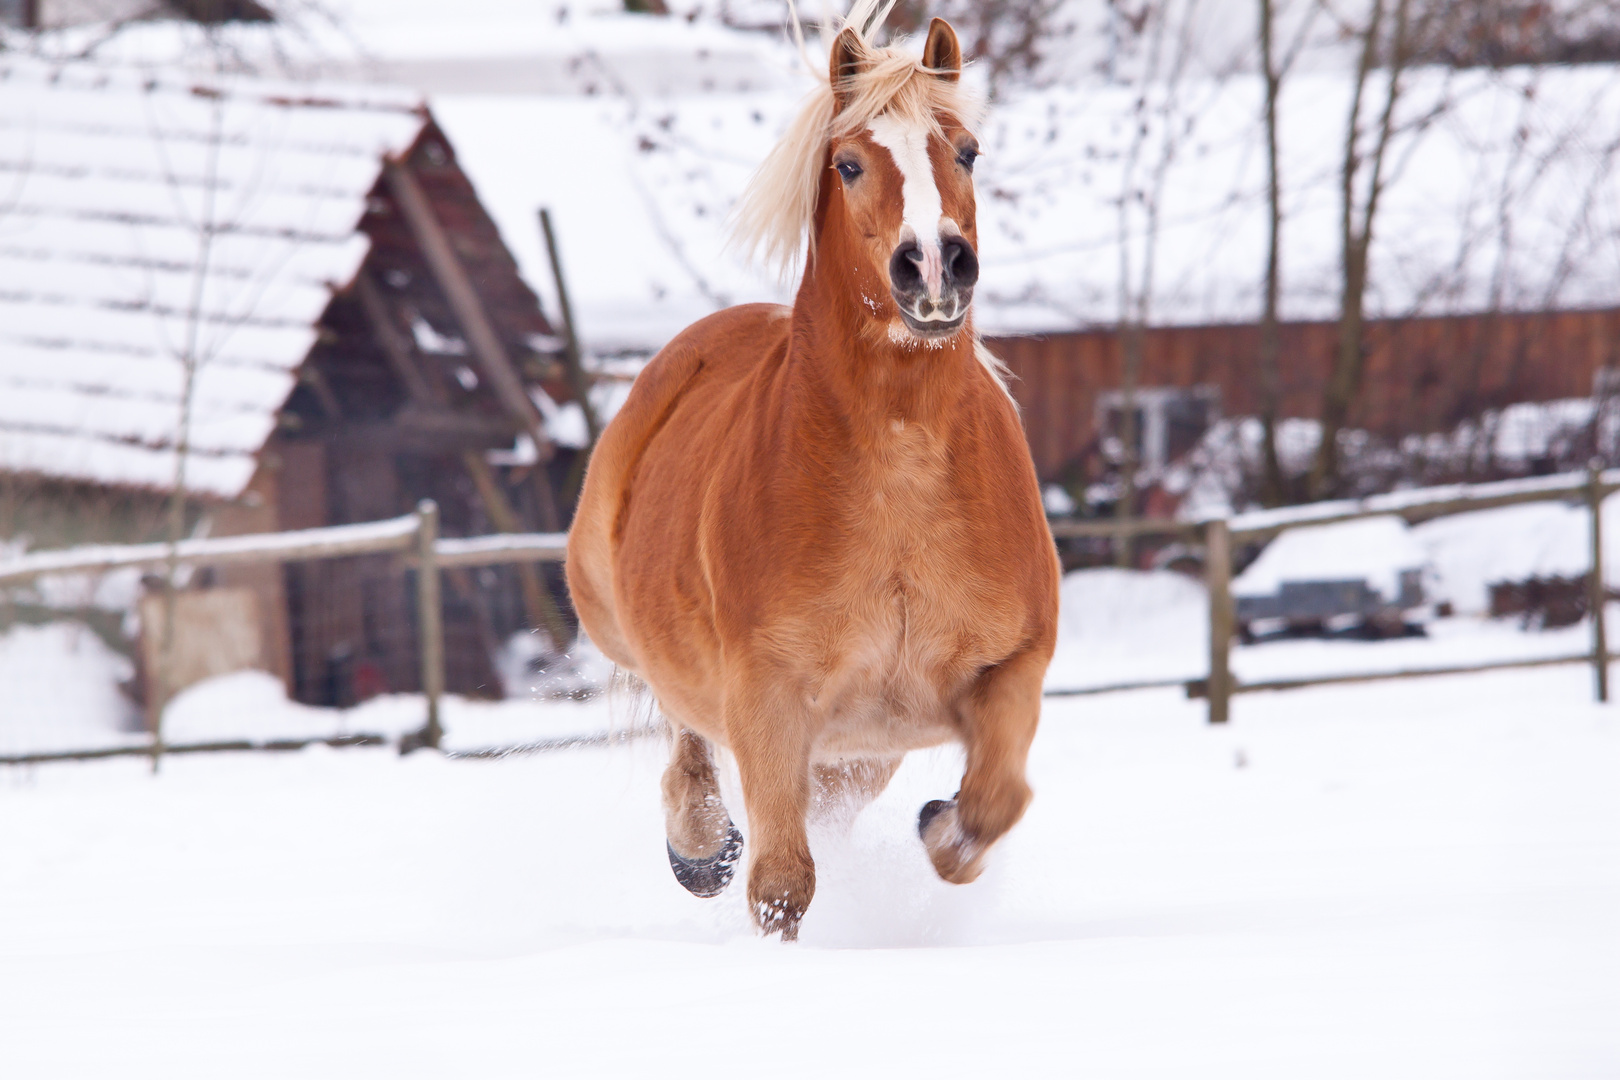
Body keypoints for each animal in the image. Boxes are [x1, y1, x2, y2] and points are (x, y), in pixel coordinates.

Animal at [570, 4, 1062, 939]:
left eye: (967, 150)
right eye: (850, 162)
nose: (935, 266)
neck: (901, 480)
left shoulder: (1011, 667)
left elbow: (998, 803)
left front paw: (941, 826)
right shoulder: (768, 697)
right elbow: (780, 884)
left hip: (855, 755)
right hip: (623, 627)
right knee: (681, 730)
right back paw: (697, 843)